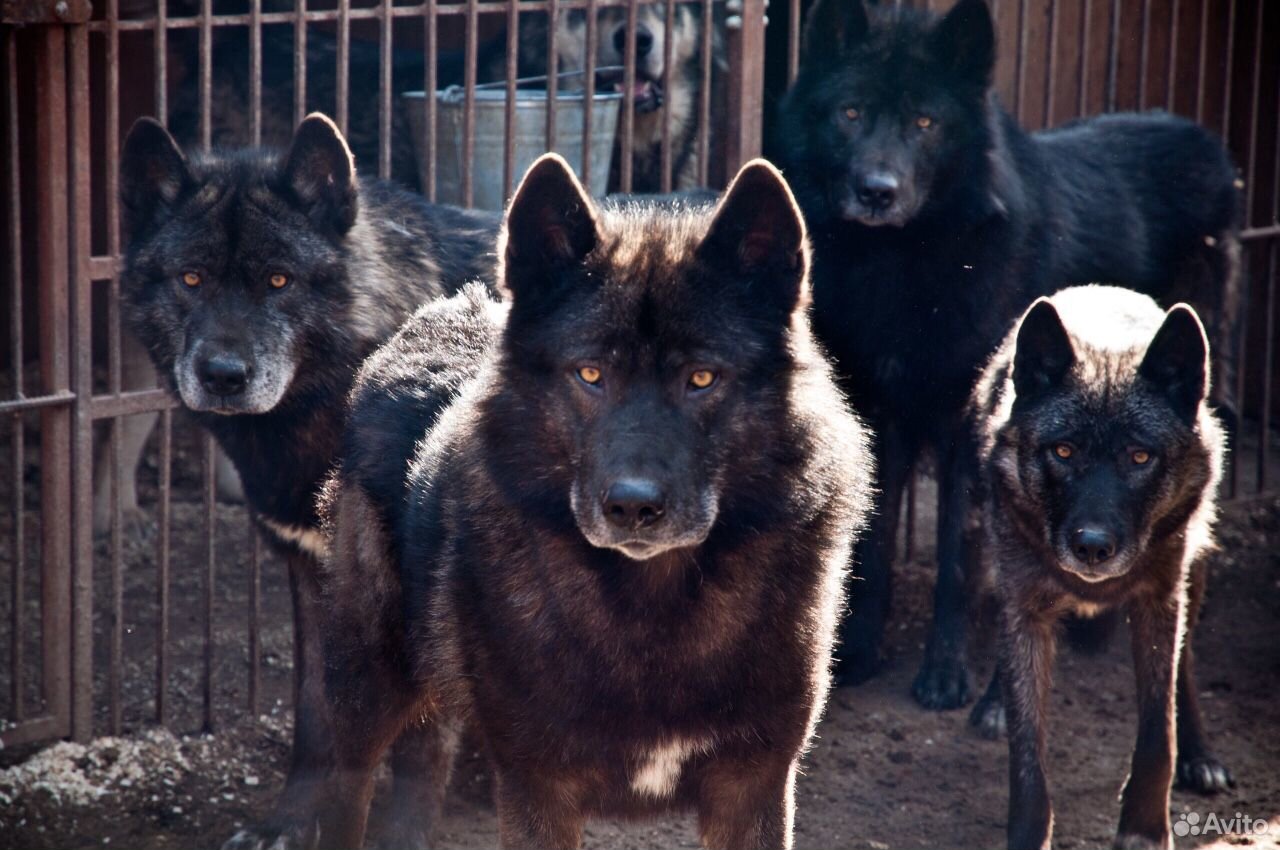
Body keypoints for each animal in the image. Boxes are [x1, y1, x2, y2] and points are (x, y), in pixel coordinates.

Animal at [117, 112, 499, 850]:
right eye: (192, 277)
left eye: (278, 281)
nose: (223, 376)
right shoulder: (315, 575)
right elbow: (316, 717)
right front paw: (290, 823)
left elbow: (421, 740)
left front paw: (404, 834)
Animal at [285, 156, 875, 844]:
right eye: (591, 374)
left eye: (701, 378)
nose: (633, 506)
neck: (653, 611)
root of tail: (438, 312)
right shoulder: (537, 789)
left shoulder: (754, 787)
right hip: (365, 692)